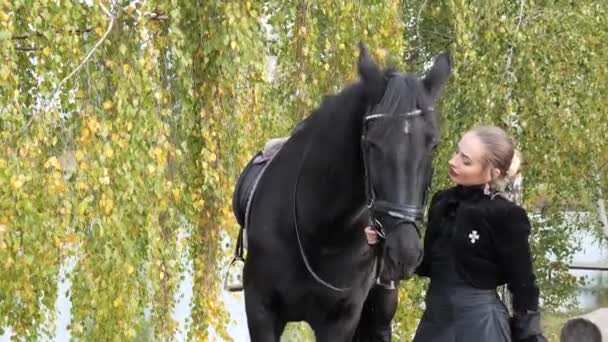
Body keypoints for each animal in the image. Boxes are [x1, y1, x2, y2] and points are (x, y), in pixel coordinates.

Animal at [233, 44, 452, 340]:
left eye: (433, 144)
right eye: (371, 142)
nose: (405, 251)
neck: (319, 232)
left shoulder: (341, 321)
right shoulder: (260, 311)